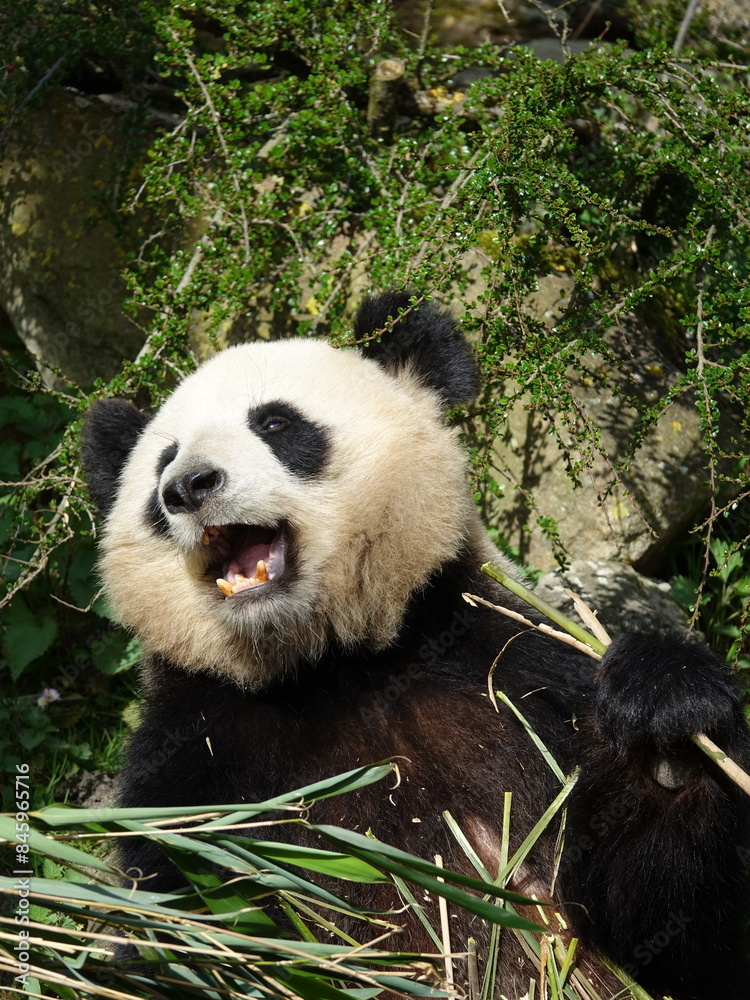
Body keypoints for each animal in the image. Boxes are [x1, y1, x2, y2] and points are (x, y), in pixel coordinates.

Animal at [82, 292, 750, 1000]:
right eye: (163, 461)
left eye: (276, 424)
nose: (187, 486)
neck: (332, 664)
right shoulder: (191, 755)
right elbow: (178, 904)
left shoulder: (510, 668)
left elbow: (670, 926)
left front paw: (669, 730)